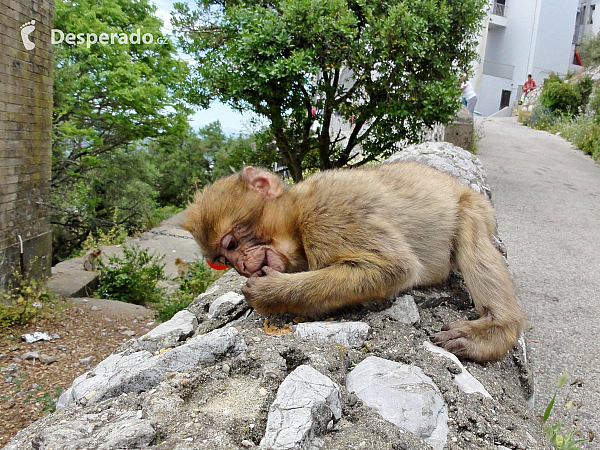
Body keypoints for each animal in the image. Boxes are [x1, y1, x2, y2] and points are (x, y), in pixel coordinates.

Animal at [183, 163, 524, 360]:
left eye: (231, 243)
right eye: (224, 261)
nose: (240, 267)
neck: (295, 216)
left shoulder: (325, 216)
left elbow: (394, 267)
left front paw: (270, 293)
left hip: (474, 208)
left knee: (471, 237)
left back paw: (497, 330)